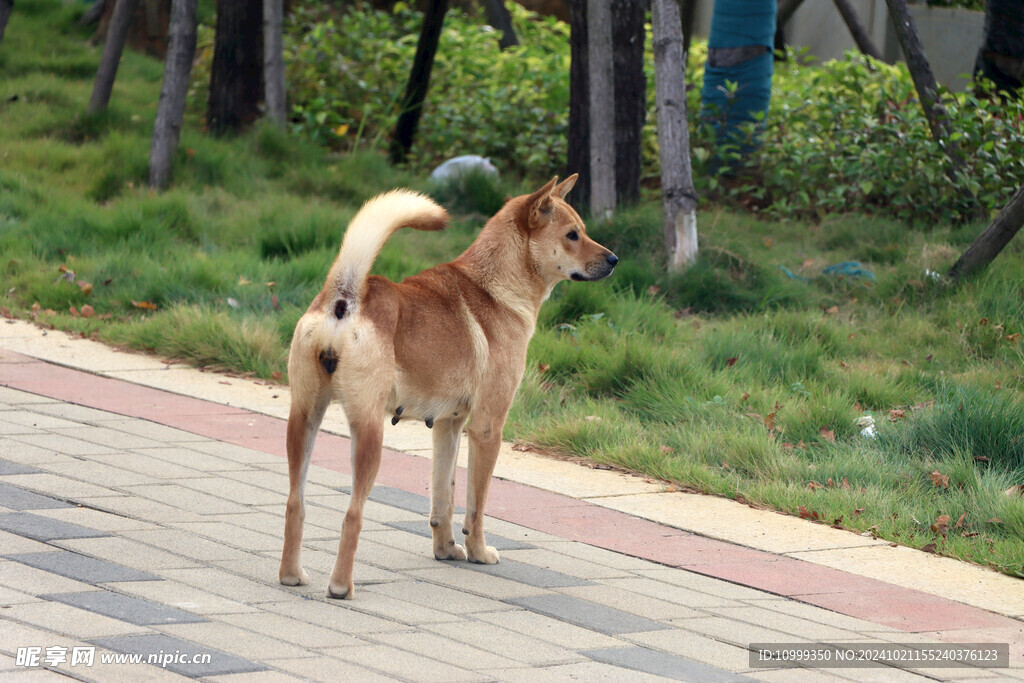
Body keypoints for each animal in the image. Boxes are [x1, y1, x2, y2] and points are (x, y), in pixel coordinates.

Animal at [278, 176, 614, 598]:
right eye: (573, 235)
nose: (614, 259)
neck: (494, 286)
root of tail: (346, 297)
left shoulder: (446, 425)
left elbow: (444, 499)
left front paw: (446, 550)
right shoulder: (487, 429)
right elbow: (476, 505)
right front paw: (478, 552)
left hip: (304, 420)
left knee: (295, 502)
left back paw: (291, 575)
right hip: (368, 435)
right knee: (353, 514)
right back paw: (341, 587)